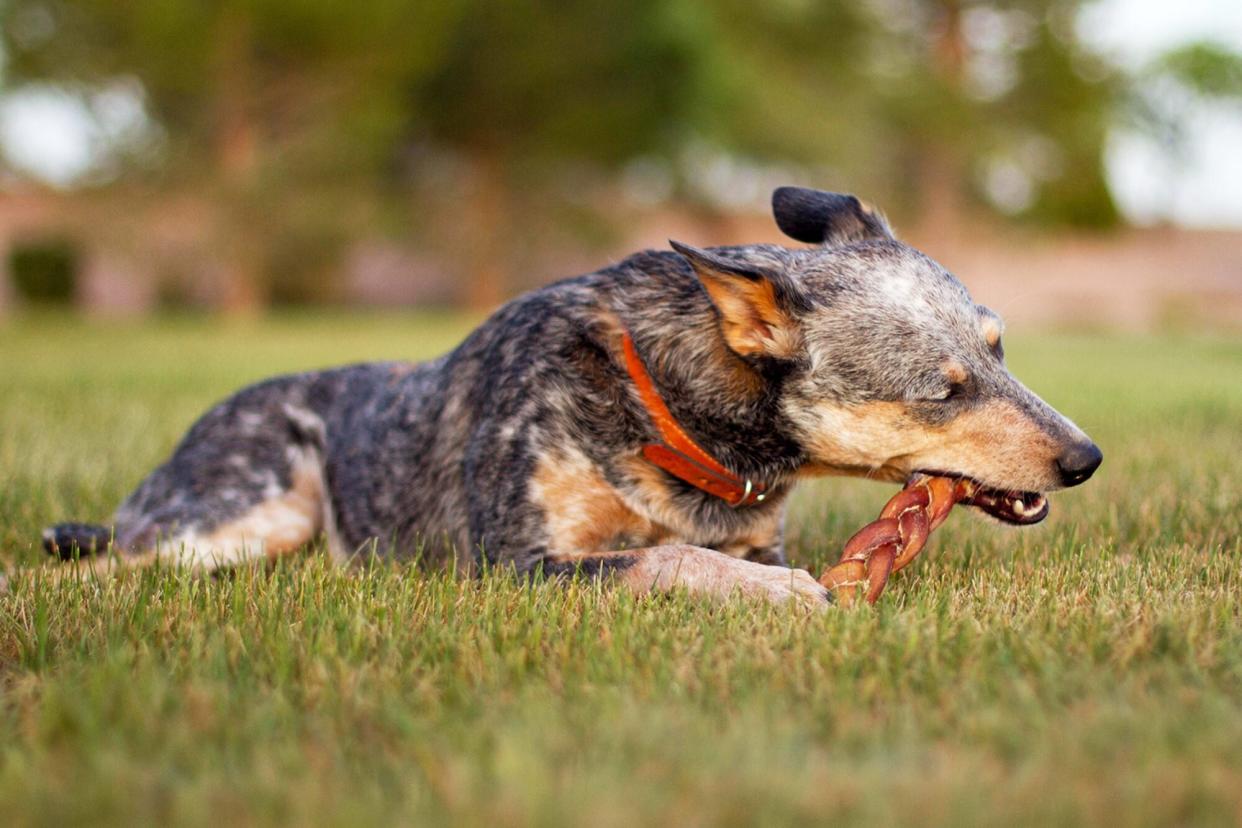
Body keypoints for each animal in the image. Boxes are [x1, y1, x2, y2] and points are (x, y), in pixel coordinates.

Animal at [41, 187, 1107, 608]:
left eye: (999, 348)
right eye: (945, 389)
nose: (1087, 456)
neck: (667, 412)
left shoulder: (753, 528)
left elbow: (700, 552)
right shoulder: (517, 563)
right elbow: (668, 559)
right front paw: (775, 595)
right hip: (247, 512)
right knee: (102, 560)